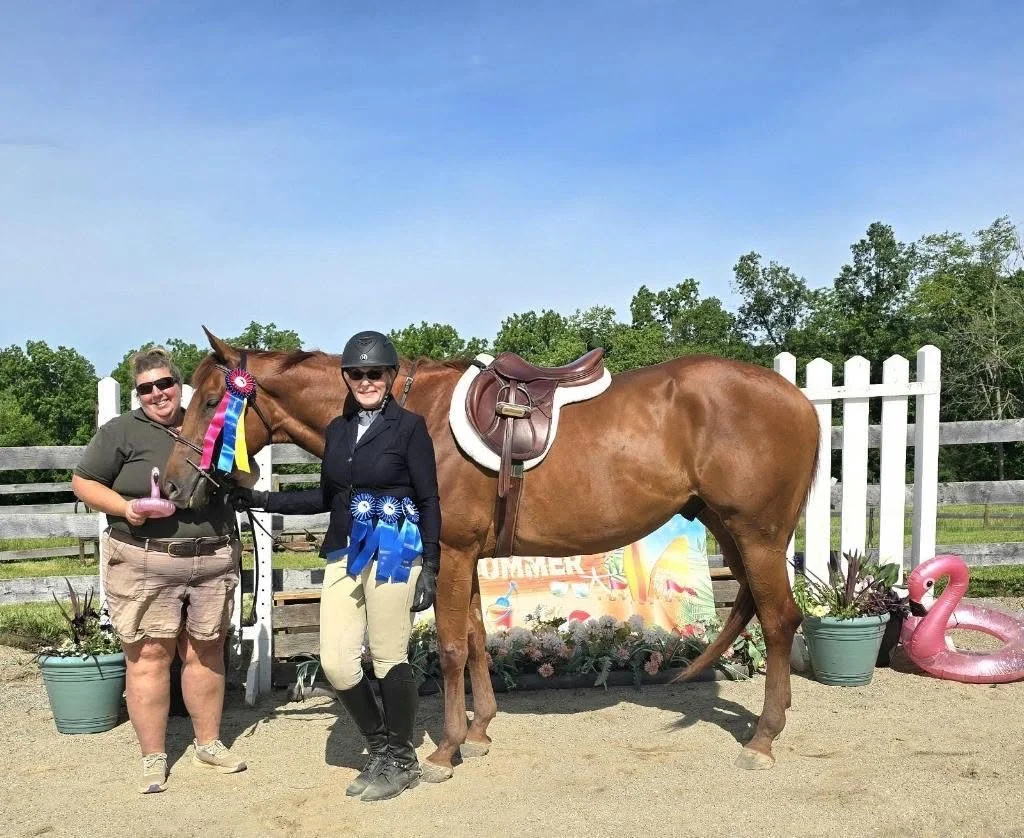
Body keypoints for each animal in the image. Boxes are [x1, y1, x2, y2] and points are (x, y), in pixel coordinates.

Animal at [162, 328, 820, 779]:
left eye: (214, 400)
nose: (171, 486)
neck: (408, 416)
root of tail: (797, 398)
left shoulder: (450, 554)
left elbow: (453, 647)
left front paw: (447, 749)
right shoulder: (465, 557)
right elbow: (478, 637)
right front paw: (479, 731)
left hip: (757, 535)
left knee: (779, 619)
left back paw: (763, 738)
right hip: (728, 528)